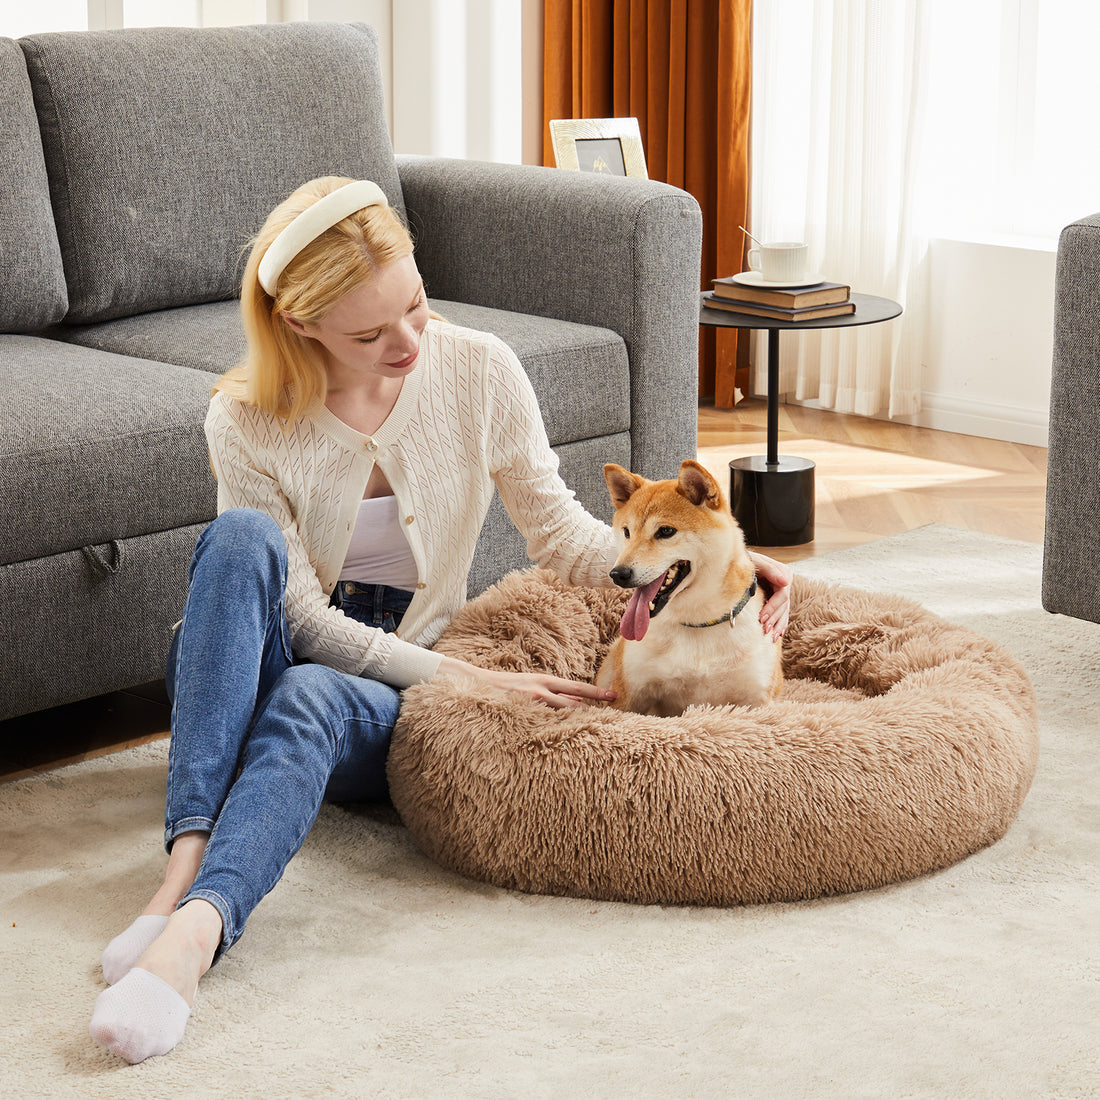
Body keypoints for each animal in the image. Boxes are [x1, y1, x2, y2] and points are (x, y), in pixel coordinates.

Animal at [594, 459, 783, 717]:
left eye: (665, 531)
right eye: (626, 532)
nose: (618, 574)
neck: (697, 622)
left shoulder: (758, 700)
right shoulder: (625, 698)